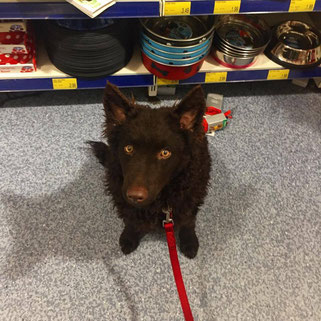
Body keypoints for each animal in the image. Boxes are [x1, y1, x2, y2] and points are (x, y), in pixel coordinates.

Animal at [90, 82, 210, 258]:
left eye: (165, 153)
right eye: (129, 148)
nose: (135, 196)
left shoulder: (190, 198)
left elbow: (188, 221)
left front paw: (189, 241)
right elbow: (131, 220)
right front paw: (129, 237)